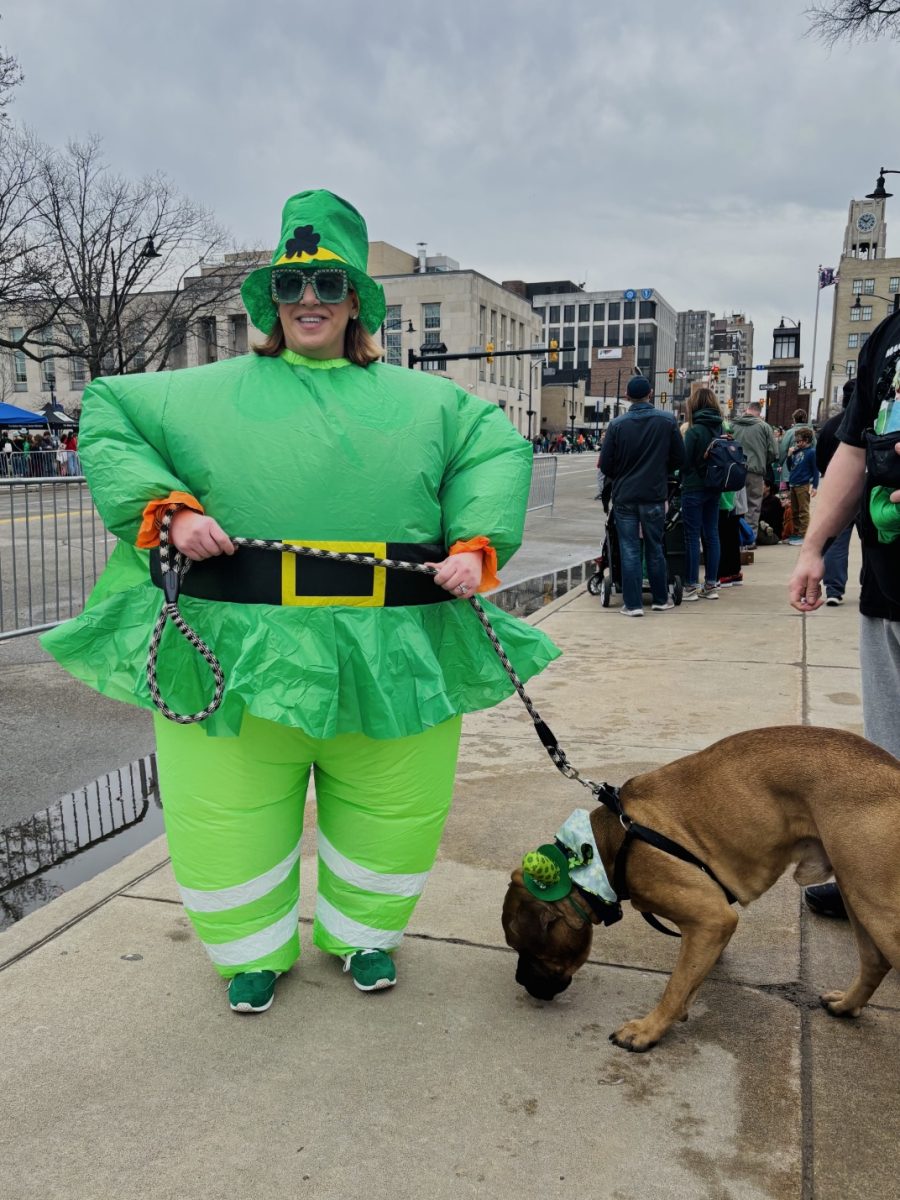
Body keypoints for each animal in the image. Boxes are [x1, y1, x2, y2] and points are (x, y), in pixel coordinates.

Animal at [504, 720, 897, 1051]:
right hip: (855, 890)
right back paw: (847, 1005)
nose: (520, 981)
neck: (603, 849)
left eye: (527, 947)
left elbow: (676, 984)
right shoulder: (709, 928)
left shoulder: (711, 919)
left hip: (874, 903)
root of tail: (892, 770)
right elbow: (689, 978)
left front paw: (648, 1030)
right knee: (874, 960)